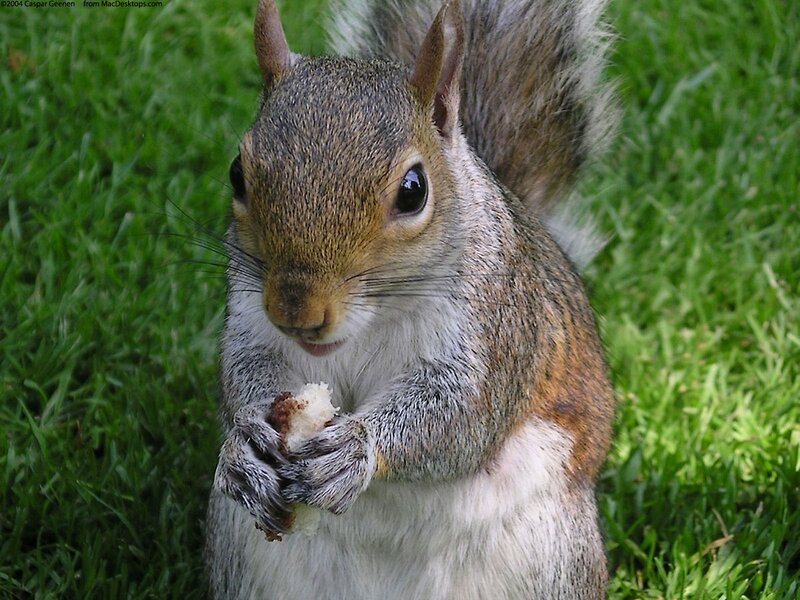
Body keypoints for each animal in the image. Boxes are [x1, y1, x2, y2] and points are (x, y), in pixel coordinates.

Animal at [206, 0, 616, 598]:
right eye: (237, 174)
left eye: (413, 191)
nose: (297, 312)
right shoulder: (248, 311)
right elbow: (243, 370)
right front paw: (244, 445)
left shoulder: (498, 328)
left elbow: (459, 416)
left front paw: (357, 448)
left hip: (554, 555)